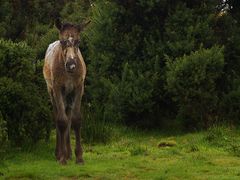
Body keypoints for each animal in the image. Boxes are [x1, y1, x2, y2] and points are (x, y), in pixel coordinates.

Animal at [43, 19, 89, 165]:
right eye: (62, 41)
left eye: (78, 41)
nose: (71, 65)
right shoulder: (58, 88)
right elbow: (61, 121)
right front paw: (62, 157)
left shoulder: (79, 88)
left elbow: (76, 120)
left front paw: (79, 157)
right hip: (53, 93)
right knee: (58, 117)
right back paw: (59, 153)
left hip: (68, 95)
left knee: (68, 117)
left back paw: (69, 153)